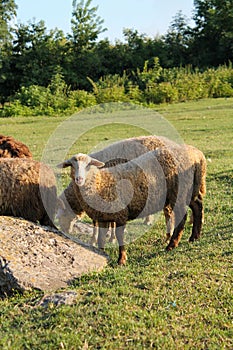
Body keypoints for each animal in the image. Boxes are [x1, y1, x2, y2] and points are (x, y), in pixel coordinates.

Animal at [57, 144, 206, 264]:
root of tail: (197, 154)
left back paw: (172, 245)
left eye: (88, 165)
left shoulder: (120, 214)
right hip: (190, 189)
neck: (101, 183)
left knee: (182, 217)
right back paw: (194, 237)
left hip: (180, 191)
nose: (79, 179)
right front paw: (102, 253)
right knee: (197, 206)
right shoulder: (103, 217)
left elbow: (120, 237)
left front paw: (121, 260)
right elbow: (101, 238)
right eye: (71, 166)